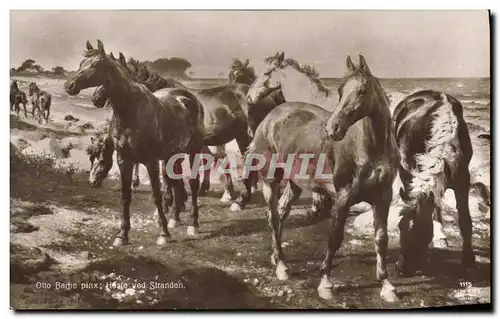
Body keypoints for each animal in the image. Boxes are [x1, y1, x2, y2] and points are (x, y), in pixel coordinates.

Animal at [65, 39, 206, 245]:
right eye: (81, 63)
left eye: (94, 65)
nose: (69, 85)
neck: (131, 112)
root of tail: (189, 98)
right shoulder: (125, 160)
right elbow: (125, 196)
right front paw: (122, 235)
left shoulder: (151, 161)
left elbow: (157, 195)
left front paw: (163, 233)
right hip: (174, 153)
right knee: (177, 180)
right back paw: (176, 216)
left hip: (193, 149)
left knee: (194, 183)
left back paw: (193, 224)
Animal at [245, 56, 398, 304]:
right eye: (341, 90)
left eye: (361, 91)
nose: (332, 128)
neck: (370, 147)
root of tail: (269, 118)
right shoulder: (343, 197)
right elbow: (334, 238)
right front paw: (325, 283)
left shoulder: (383, 197)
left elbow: (381, 239)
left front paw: (387, 286)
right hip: (271, 180)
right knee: (273, 217)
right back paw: (281, 266)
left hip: (295, 184)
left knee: (281, 212)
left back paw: (279, 258)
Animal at [392, 90, 474, 278]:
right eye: (400, 227)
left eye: (416, 235)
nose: (401, 269)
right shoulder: (410, 173)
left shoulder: (463, 180)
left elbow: (465, 221)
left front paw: (468, 260)